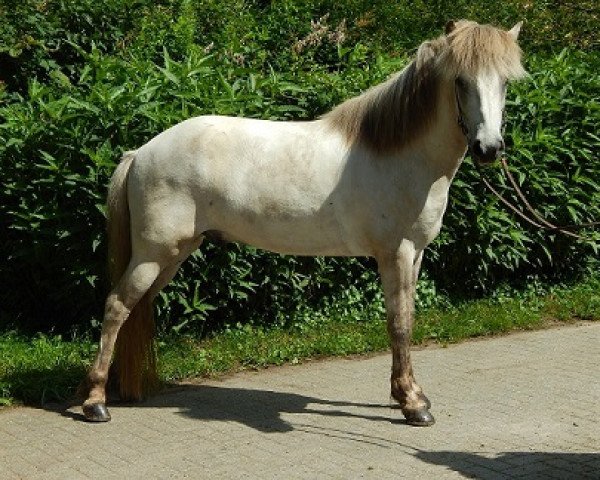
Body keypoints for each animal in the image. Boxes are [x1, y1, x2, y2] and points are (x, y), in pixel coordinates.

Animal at [81, 18, 524, 426]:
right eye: (461, 81)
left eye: (505, 82)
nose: (489, 148)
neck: (399, 155)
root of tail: (141, 152)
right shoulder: (395, 254)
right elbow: (398, 324)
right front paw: (413, 406)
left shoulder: (414, 255)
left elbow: (409, 320)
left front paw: (408, 393)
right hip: (154, 254)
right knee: (117, 307)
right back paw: (96, 401)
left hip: (171, 256)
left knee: (137, 309)